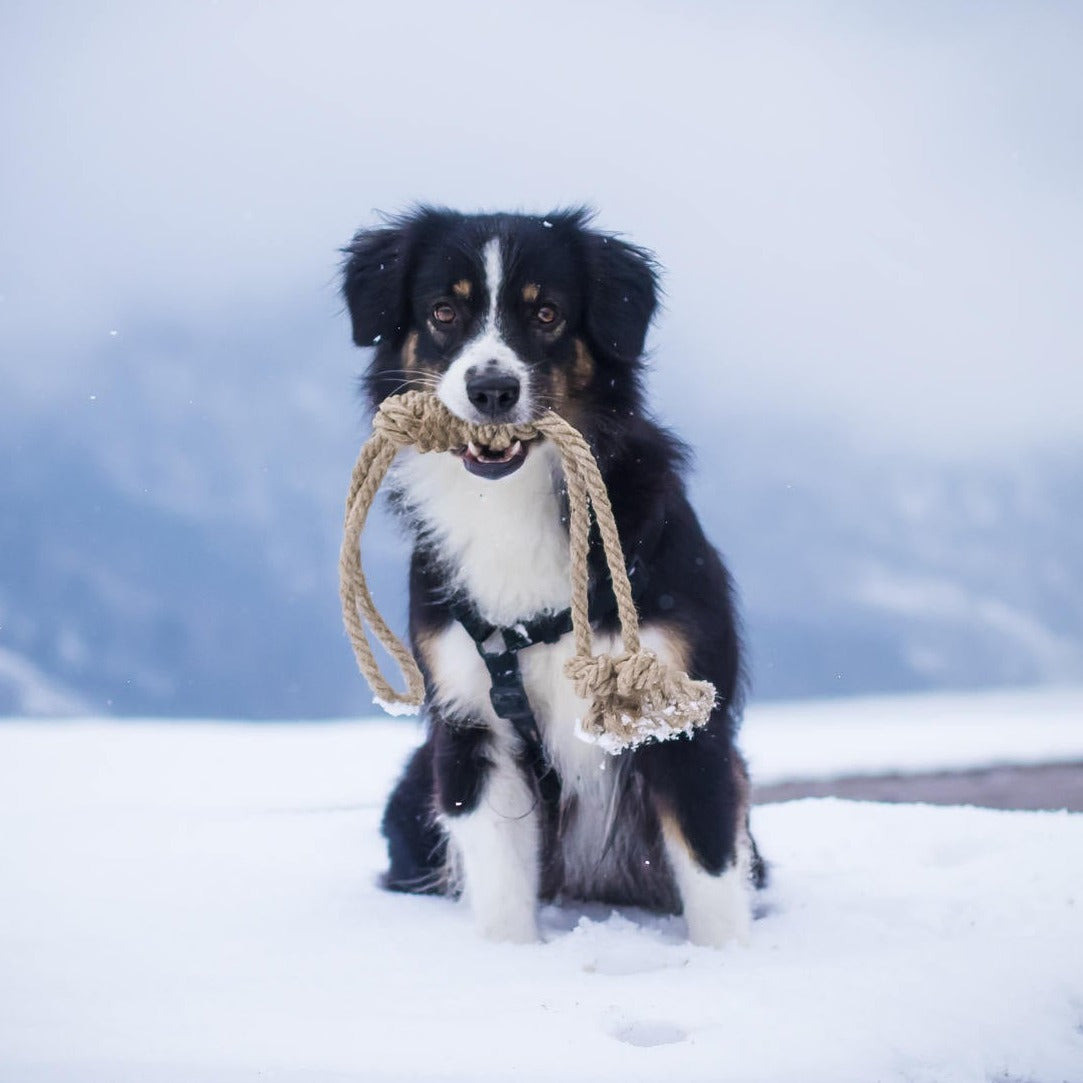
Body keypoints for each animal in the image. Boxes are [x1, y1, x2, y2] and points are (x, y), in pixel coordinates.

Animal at [342, 206, 766, 944]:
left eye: (546, 314)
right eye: (444, 311)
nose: (491, 389)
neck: (512, 501)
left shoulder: (684, 713)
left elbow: (710, 868)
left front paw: (731, 959)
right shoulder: (470, 721)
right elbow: (500, 879)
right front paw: (512, 959)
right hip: (413, 789)